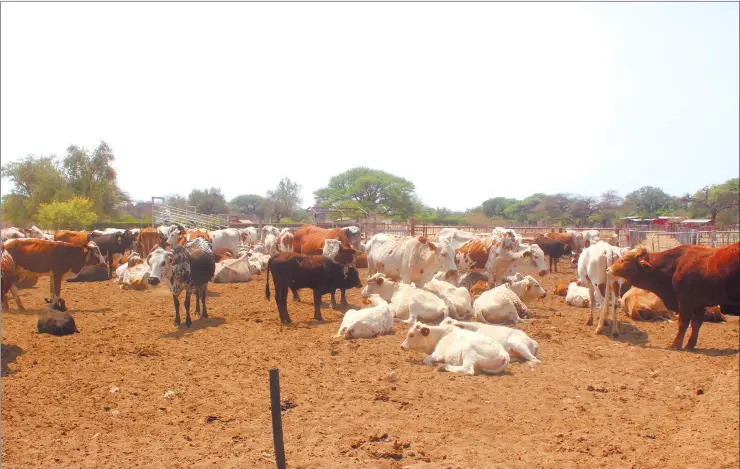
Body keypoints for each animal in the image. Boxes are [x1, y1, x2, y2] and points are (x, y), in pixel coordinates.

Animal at [608, 243, 740, 350]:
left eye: (624, 260)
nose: (609, 269)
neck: (677, 264)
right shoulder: (699, 304)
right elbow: (696, 324)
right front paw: (690, 345)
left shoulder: (686, 302)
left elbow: (683, 323)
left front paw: (676, 345)